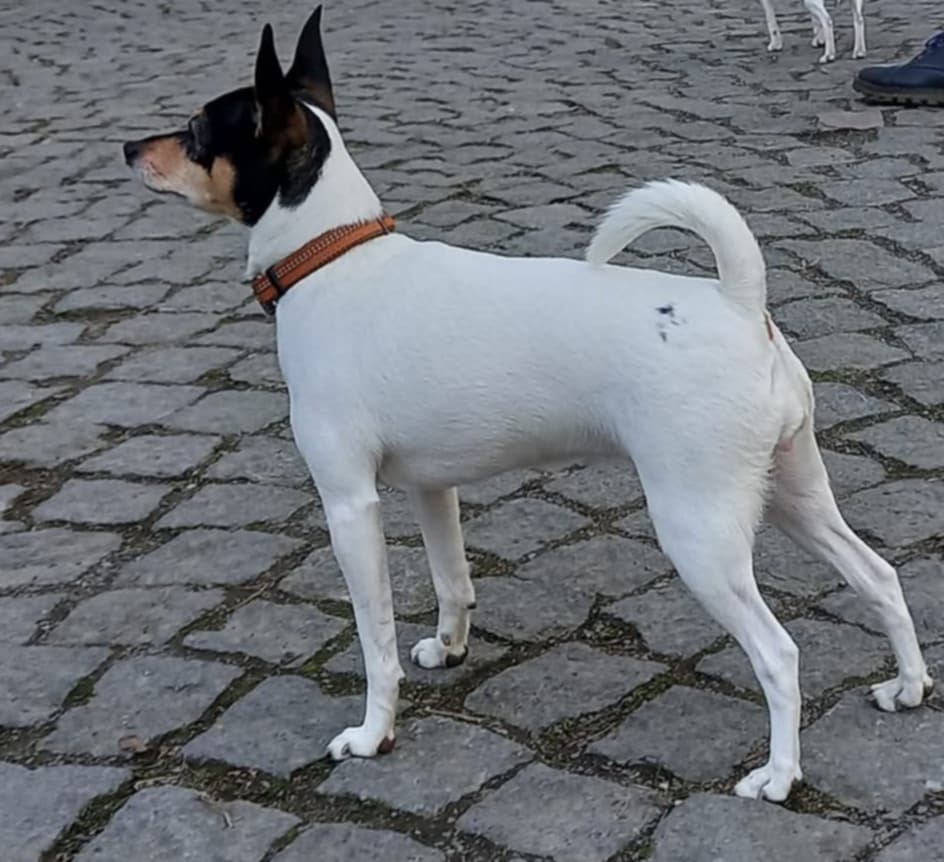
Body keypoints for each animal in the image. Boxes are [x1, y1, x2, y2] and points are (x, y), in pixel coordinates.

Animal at [124, 7, 929, 803]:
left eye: (195, 130)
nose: (130, 145)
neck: (329, 257)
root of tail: (739, 302)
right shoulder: (431, 488)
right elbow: (452, 581)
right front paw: (449, 648)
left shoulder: (349, 505)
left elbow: (374, 639)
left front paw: (373, 734)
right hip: (791, 493)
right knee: (879, 577)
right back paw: (909, 686)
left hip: (699, 531)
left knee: (779, 653)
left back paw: (779, 775)